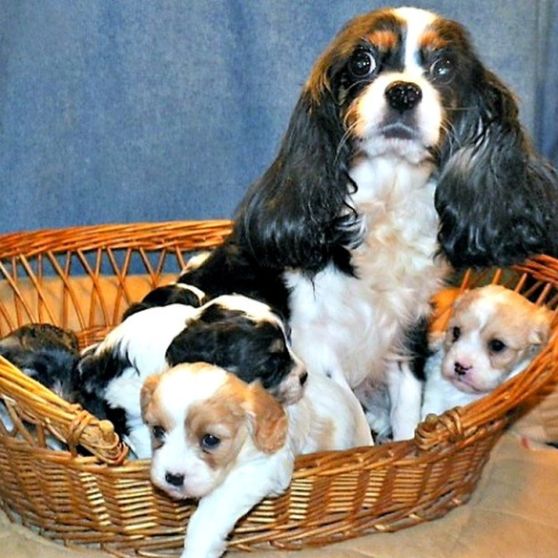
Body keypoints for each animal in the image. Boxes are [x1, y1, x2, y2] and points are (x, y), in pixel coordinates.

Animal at [142, 364, 374, 558]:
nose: (173, 477)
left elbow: (209, 514)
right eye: (157, 431)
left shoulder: (261, 468)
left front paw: (197, 549)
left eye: (210, 439)